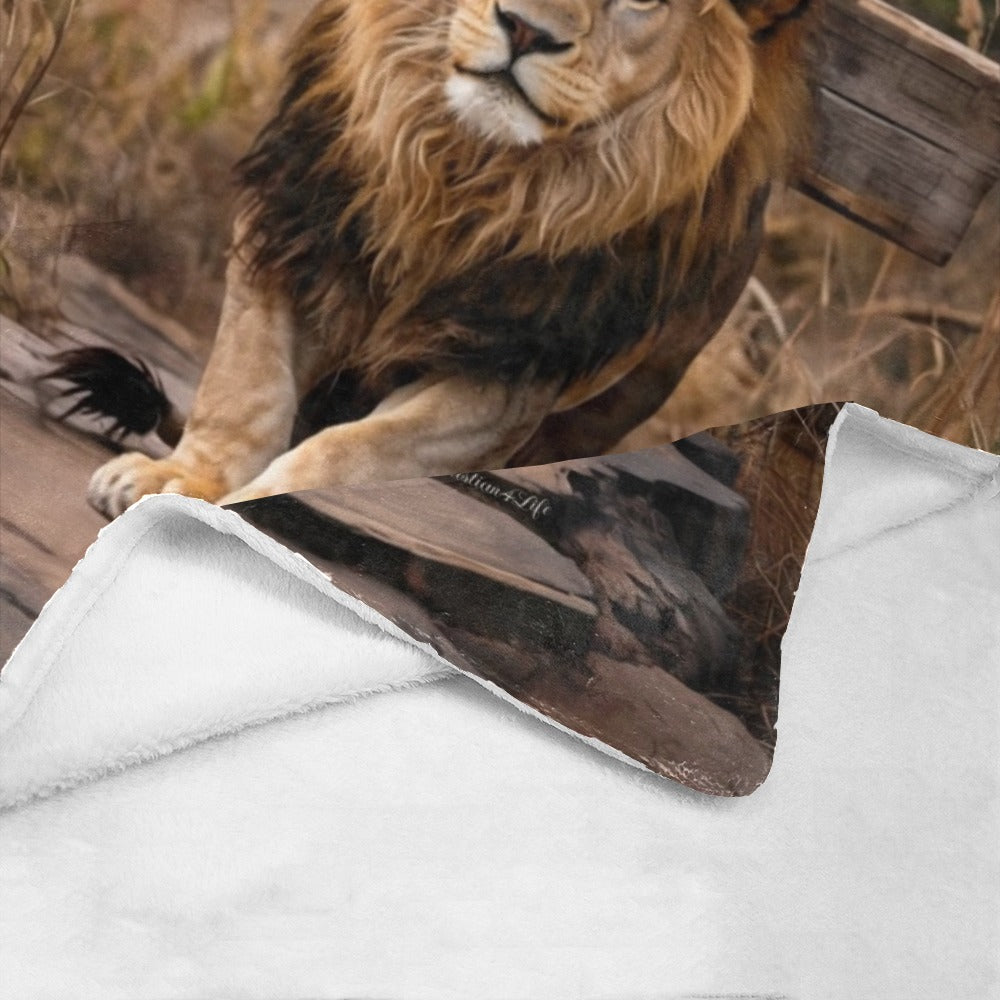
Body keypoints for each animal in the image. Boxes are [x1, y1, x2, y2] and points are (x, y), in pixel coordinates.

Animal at [86, 0, 816, 518]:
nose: (525, 30)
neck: (462, 170)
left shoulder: (503, 377)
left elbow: (352, 449)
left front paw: (250, 506)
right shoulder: (294, 230)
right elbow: (244, 382)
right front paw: (184, 476)